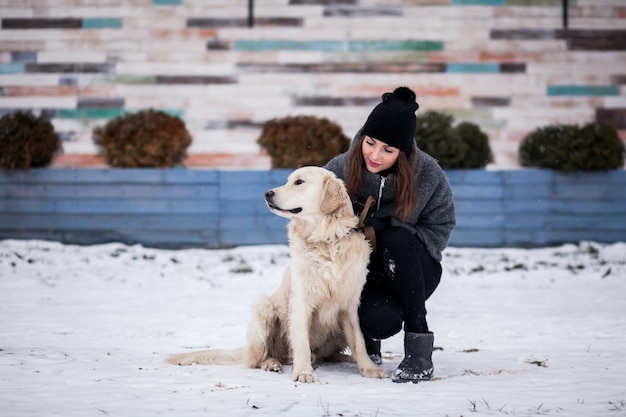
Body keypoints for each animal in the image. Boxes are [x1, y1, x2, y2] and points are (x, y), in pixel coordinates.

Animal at [166, 167, 386, 382]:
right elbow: (302, 342)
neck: (326, 239)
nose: (267, 193)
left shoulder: (349, 305)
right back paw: (271, 363)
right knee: (258, 359)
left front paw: (369, 369)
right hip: (263, 308)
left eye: (299, 182)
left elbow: (359, 341)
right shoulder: (301, 301)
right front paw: (303, 372)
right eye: (288, 180)